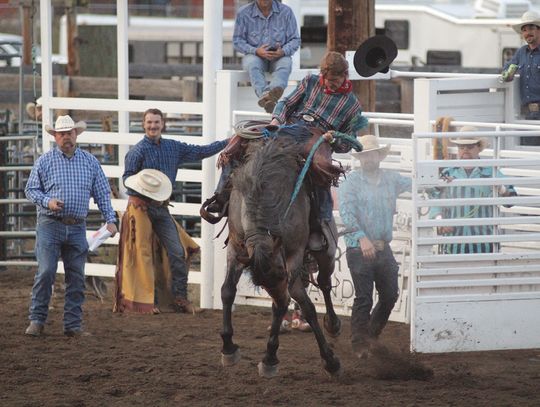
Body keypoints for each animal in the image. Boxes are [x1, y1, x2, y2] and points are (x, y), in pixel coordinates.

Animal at [219, 132, 342, 378]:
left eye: (279, 275)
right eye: (261, 283)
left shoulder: (293, 257)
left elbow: (296, 305)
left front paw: (271, 358)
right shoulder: (236, 247)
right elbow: (227, 291)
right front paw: (228, 347)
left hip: (327, 251)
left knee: (323, 284)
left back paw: (332, 325)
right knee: (303, 299)